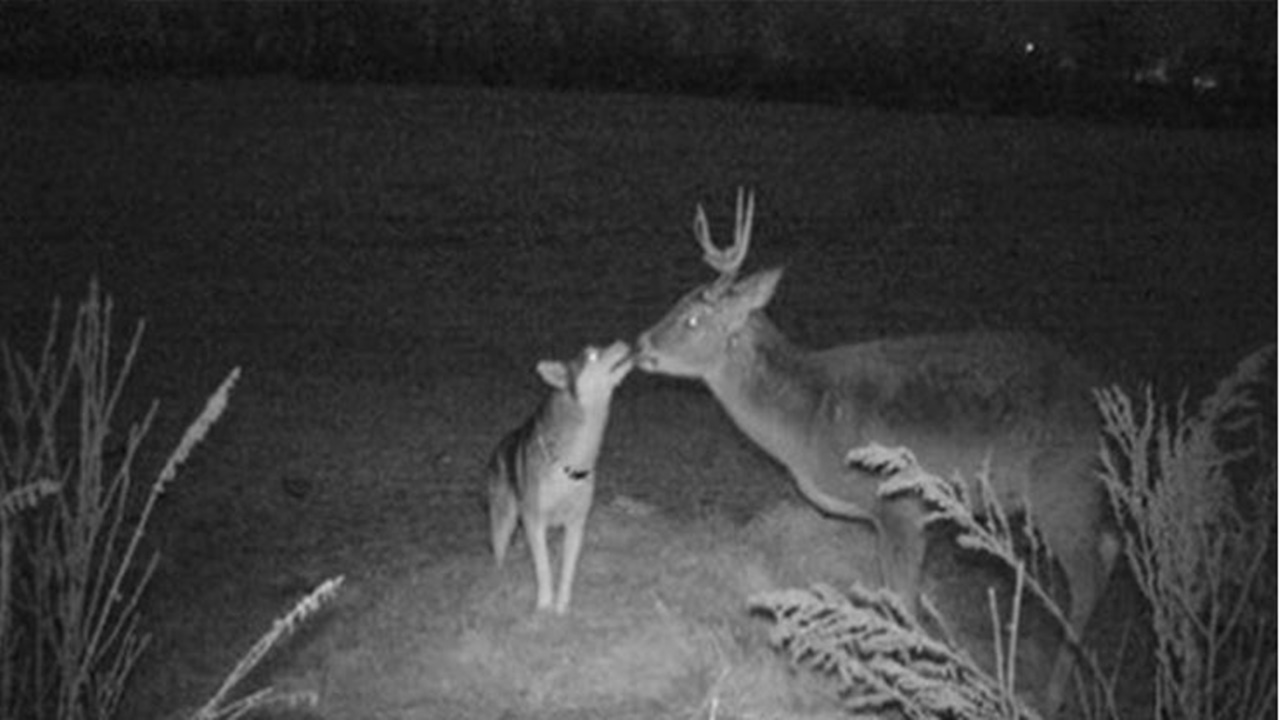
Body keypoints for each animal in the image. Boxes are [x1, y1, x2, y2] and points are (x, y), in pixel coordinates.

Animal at [486, 340, 632, 609]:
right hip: (504, 521)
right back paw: (500, 583)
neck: (571, 464)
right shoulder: (534, 520)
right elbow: (543, 568)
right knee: (499, 554)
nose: (623, 343)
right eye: (592, 355)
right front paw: (544, 605)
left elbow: (567, 569)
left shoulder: (576, 522)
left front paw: (562, 606)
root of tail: (500, 445)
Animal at [634, 185, 1116, 707]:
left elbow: (902, 605)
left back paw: (1052, 693)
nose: (640, 346)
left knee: (1088, 577)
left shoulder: (901, 505)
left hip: (1061, 483)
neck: (809, 420)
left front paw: (900, 686)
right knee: (1110, 545)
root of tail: (1100, 400)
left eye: (692, 318)